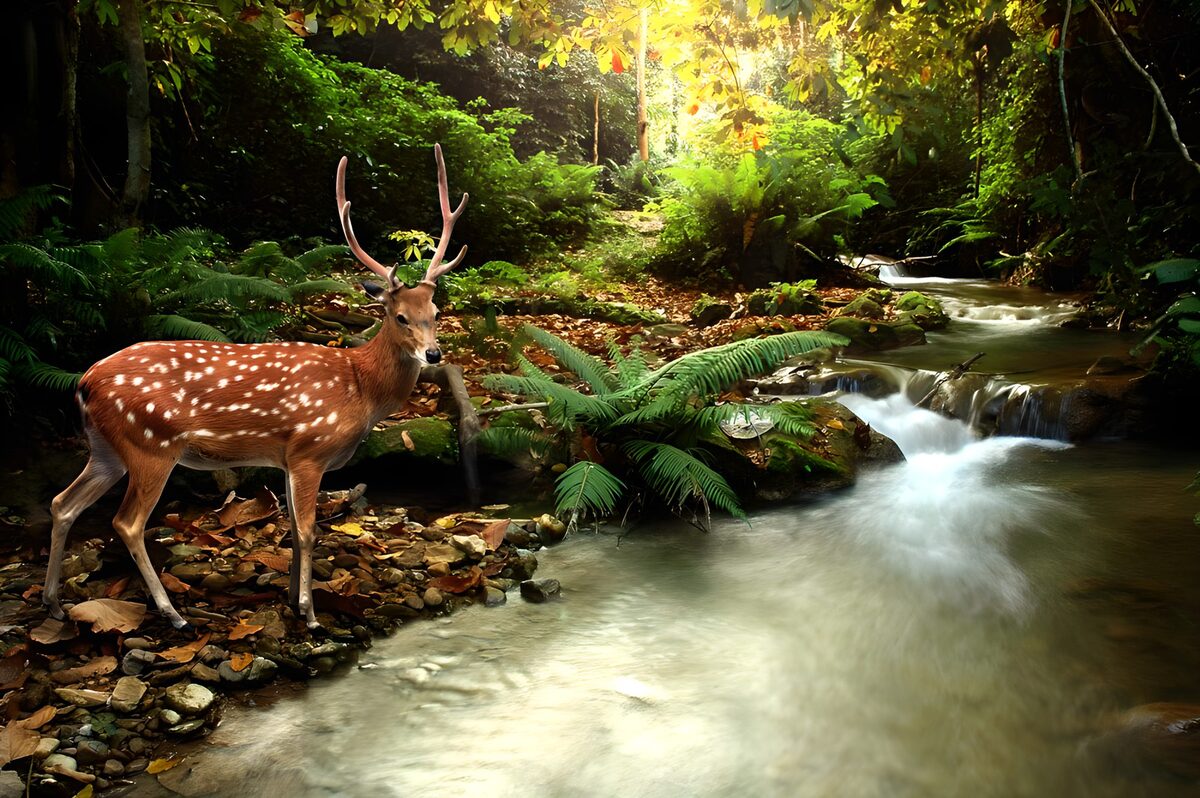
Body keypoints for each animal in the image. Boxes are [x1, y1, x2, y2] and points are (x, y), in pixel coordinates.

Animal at [43, 144, 469, 629]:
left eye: (435, 312)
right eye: (399, 316)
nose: (433, 354)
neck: (359, 387)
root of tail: (84, 382)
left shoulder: (286, 456)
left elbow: (293, 530)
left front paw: (291, 600)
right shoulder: (310, 449)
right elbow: (308, 530)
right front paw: (310, 614)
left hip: (106, 449)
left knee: (62, 503)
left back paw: (54, 603)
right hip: (151, 444)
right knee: (126, 523)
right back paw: (173, 614)